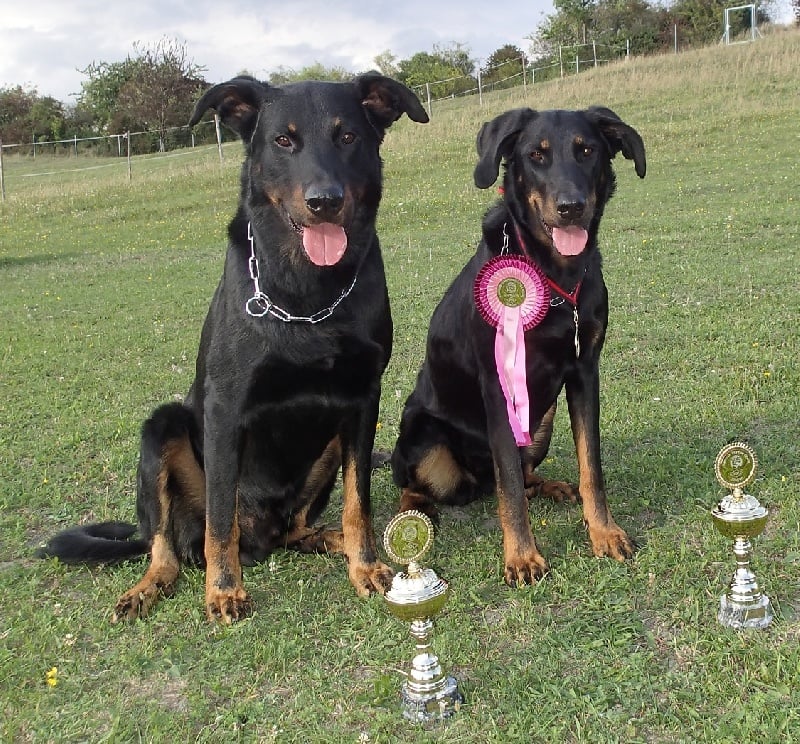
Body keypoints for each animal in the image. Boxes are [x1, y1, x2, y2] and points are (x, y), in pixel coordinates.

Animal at [36, 73, 429, 623]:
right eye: (283, 141)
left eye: (348, 137)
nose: (324, 200)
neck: (308, 296)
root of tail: (260, 537)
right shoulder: (224, 408)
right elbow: (220, 518)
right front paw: (223, 590)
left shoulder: (361, 402)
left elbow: (360, 502)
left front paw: (365, 563)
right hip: (163, 428)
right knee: (168, 546)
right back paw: (148, 586)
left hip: (325, 450)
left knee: (295, 530)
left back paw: (329, 539)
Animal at [390, 106, 645, 586]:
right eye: (536, 156)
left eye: (587, 150)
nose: (570, 207)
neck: (556, 276)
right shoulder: (499, 388)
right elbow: (507, 483)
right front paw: (523, 557)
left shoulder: (584, 373)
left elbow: (591, 466)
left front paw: (604, 532)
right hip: (422, 435)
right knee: (420, 485)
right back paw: (415, 512)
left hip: (541, 422)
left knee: (524, 475)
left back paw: (552, 487)